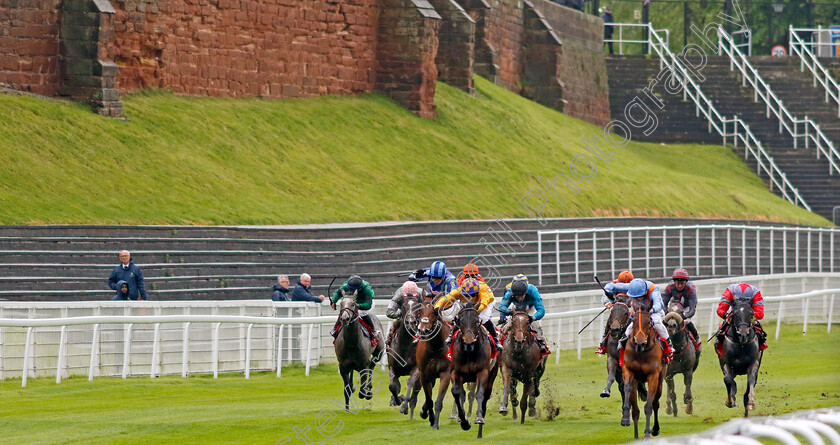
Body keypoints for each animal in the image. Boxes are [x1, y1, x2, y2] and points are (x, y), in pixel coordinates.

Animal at [416, 296, 452, 428]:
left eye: (434, 312)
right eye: (419, 310)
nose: (422, 329)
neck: (435, 347)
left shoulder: (445, 374)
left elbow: (438, 401)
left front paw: (435, 423)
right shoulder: (424, 375)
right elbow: (429, 399)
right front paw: (430, 418)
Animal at [624, 306, 668, 438]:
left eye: (649, 322)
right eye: (633, 321)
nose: (639, 343)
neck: (641, 353)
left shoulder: (653, 376)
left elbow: (649, 406)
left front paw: (647, 434)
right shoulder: (629, 370)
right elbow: (627, 389)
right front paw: (625, 417)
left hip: (660, 380)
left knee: (655, 403)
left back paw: (655, 429)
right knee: (636, 410)